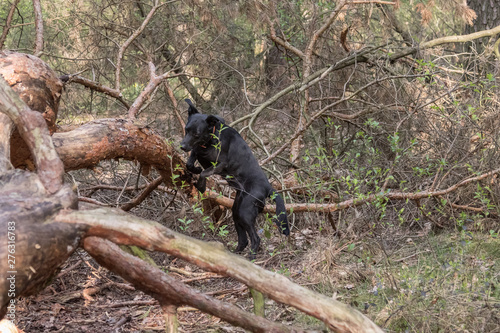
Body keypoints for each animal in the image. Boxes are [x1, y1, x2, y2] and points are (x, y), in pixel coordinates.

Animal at [180, 98, 290, 254]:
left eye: (196, 134)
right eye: (186, 130)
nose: (182, 146)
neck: (212, 138)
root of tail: (268, 187)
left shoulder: (220, 164)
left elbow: (204, 172)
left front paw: (201, 185)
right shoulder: (198, 150)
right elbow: (191, 161)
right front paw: (194, 168)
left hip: (245, 212)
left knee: (256, 239)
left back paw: (250, 256)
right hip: (237, 210)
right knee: (244, 239)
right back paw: (235, 254)